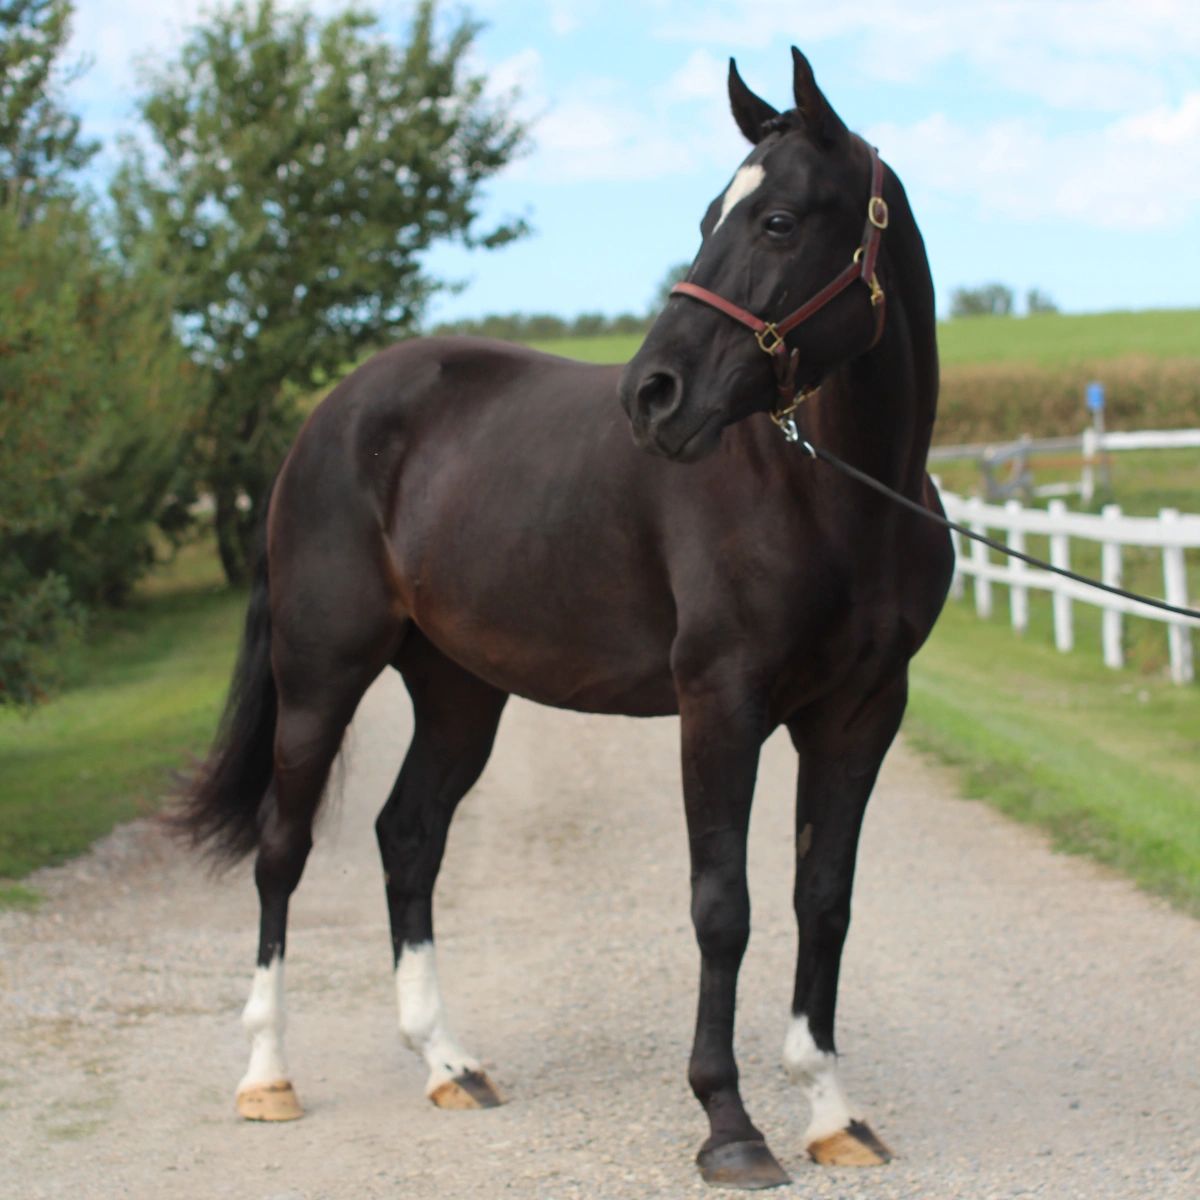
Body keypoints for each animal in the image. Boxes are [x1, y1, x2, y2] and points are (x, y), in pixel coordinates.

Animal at [180, 48, 953, 1190]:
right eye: (708, 215)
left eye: (777, 222)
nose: (653, 396)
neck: (836, 498)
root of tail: (329, 417)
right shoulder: (719, 704)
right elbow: (723, 907)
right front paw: (730, 1124)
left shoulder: (860, 714)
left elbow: (825, 900)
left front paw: (831, 1114)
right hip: (321, 677)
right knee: (283, 850)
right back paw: (267, 1077)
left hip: (459, 690)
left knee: (408, 836)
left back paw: (446, 1062)